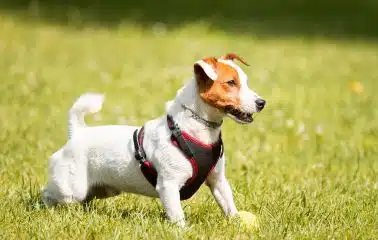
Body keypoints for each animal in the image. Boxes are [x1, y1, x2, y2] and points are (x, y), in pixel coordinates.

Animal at [41, 53, 266, 227]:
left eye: (245, 82)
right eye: (231, 83)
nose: (262, 102)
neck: (196, 129)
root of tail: (78, 132)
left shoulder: (218, 181)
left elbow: (228, 205)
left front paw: (237, 222)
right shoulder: (169, 185)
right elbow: (177, 215)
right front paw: (183, 231)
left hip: (101, 189)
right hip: (71, 188)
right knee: (49, 193)